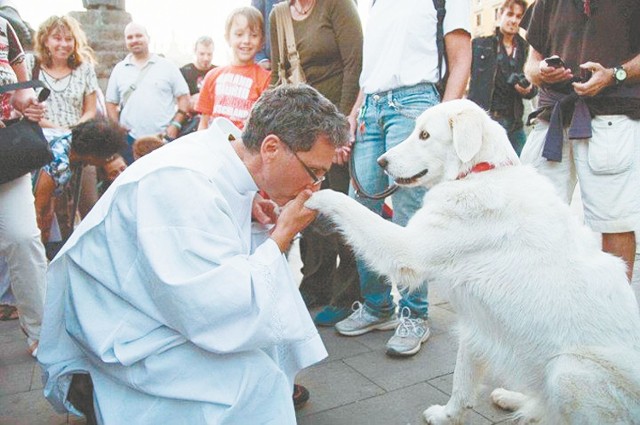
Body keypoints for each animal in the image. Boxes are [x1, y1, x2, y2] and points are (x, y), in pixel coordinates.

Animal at [304, 100, 640, 424]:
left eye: (424, 135)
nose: (380, 162)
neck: (480, 172)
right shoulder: (476, 322)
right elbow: (461, 382)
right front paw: (446, 416)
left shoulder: (408, 250)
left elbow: (349, 207)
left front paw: (315, 197)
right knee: (541, 404)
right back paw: (513, 398)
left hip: (567, 372)